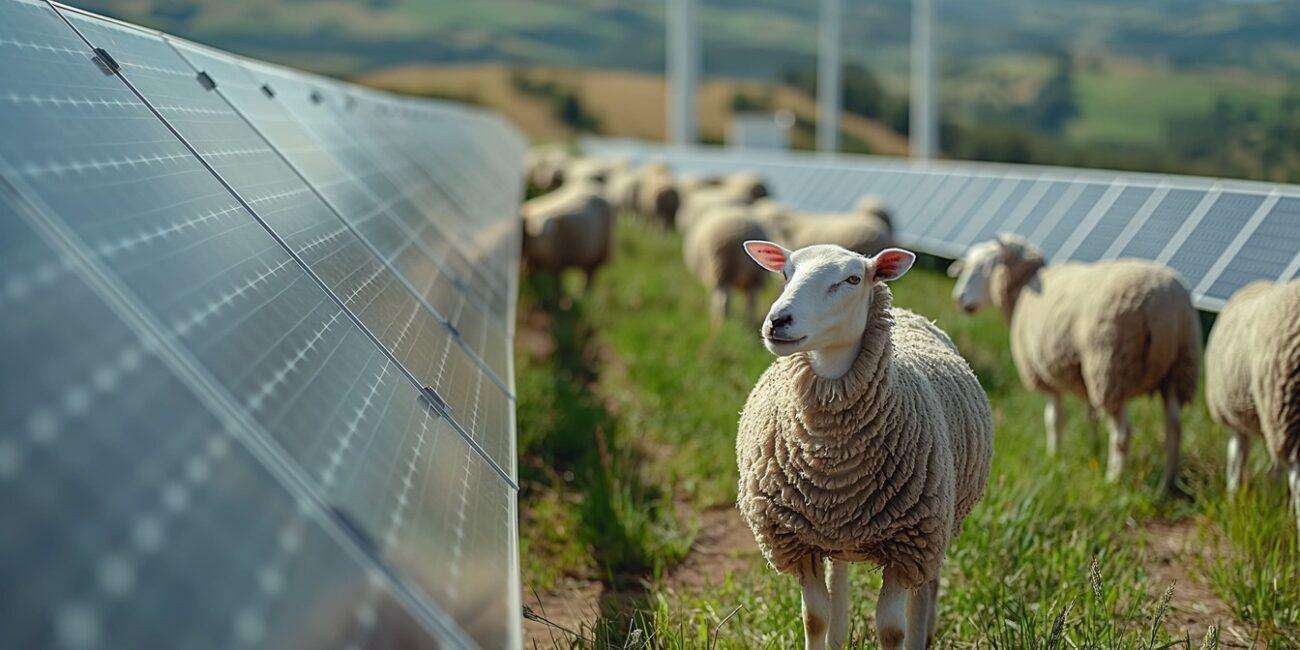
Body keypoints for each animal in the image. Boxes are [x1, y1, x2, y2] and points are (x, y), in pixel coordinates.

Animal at [738, 243, 987, 650]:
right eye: (786, 272)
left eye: (853, 279)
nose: (777, 320)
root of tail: (909, 313)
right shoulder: (799, 539)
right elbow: (814, 617)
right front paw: (824, 632)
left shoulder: (908, 544)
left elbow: (891, 629)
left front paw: (902, 634)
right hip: (838, 534)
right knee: (839, 579)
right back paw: (839, 636)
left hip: (937, 528)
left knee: (925, 591)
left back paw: (922, 634)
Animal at [946, 233, 1196, 491]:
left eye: (987, 266)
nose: (959, 298)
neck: (1024, 288)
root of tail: (1158, 304)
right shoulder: (1083, 376)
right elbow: (1091, 415)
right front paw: (1093, 450)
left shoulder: (1043, 373)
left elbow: (1053, 419)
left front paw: (1054, 456)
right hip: (1178, 368)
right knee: (1174, 427)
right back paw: (1168, 482)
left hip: (1110, 367)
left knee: (1122, 433)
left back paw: (1113, 479)